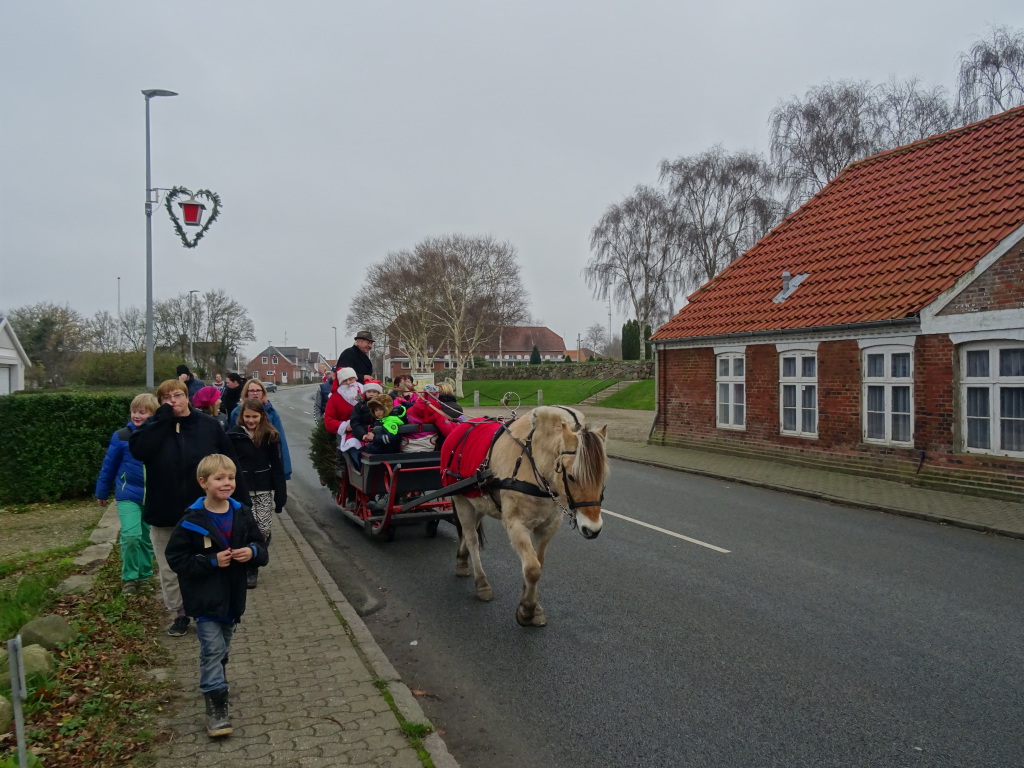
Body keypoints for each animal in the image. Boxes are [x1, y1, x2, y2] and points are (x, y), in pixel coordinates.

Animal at [445, 405, 609, 627]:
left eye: (603, 476)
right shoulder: (516, 525)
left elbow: (538, 563)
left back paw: (462, 560)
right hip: (461, 499)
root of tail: (461, 427)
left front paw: (532, 604)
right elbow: (532, 568)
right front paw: (527, 610)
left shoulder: (548, 526)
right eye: (572, 476)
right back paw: (481, 582)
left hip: (477, 502)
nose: (592, 529)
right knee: (471, 539)